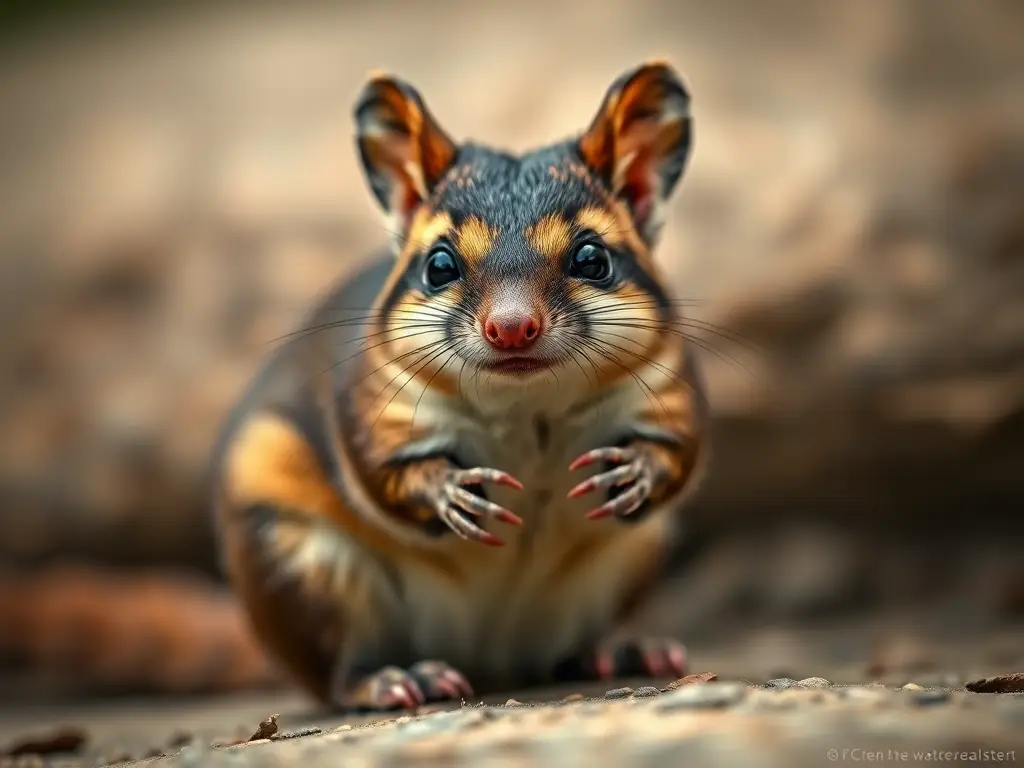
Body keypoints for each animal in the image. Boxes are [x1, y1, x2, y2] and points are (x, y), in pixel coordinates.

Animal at [211, 60, 710, 711]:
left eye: (592, 258)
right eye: (439, 265)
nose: (512, 327)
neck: (529, 409)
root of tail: (491, 661)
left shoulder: (669, 389)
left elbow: (679, 448)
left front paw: (634, 472)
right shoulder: (379, 404)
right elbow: (384, 468)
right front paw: (451, 491)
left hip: (632, 561)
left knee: (570, 650)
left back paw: (620, 651)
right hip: (298, 561)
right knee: (337, 672)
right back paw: (396, 678)